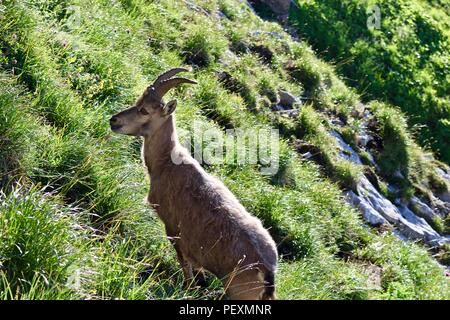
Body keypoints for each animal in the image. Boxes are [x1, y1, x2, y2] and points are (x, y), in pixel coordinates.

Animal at [109, 68, 278, 300]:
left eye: (144, 110)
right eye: (138, 102)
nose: (113, 120)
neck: (167, 162)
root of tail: (267, 271)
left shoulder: (173, 227)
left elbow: (185, 264)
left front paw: (186, 289)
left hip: (240, 292)